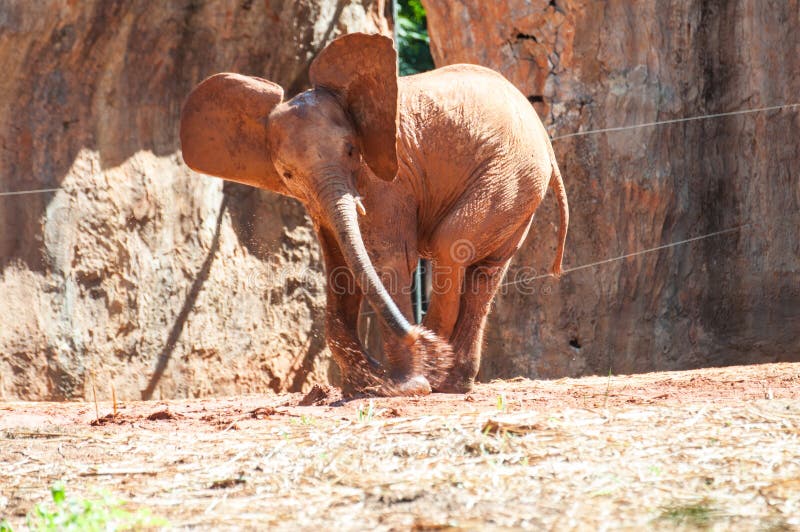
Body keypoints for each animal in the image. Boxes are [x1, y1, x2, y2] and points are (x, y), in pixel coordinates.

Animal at [179, 32, 568, 396]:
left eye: (352, 151)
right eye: (288, 174)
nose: (416, 338)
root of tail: (545, 139)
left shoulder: (388, 181)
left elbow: (388, 259)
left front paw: (404, 386)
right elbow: (341, 269)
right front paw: (363, 386)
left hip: (510, 176)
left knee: (451, 247)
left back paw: (437, 373)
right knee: (484, 275)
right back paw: (451, 378)